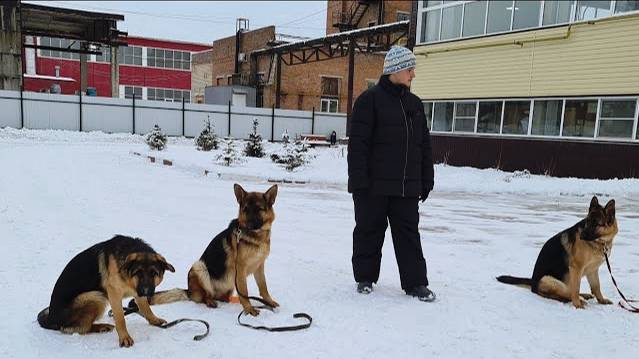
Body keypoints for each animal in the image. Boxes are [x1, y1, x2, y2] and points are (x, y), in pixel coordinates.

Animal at [37, 236, 178, 348]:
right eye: (138, 273)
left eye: (154, 273)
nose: (147, 291)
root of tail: (50, 318)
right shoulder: (114, 294)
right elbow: (120, 318)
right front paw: (124, 338)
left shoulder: (137, 292)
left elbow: (145, 308)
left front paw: (153, 320)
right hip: (95, 296)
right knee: (76, 328)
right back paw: (101, 327)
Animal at [151, 184, 282, 316]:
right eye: (246, 209)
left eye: (259, 209)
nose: (249, 225)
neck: (256, 237)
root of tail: (189, 291)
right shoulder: (241, 268)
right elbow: (244, 292)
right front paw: (249, 309)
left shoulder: (259, 266)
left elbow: (263, 287)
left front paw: (269, 302)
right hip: (199, 267)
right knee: (205, 296)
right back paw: (210, 302)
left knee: (221, 297)